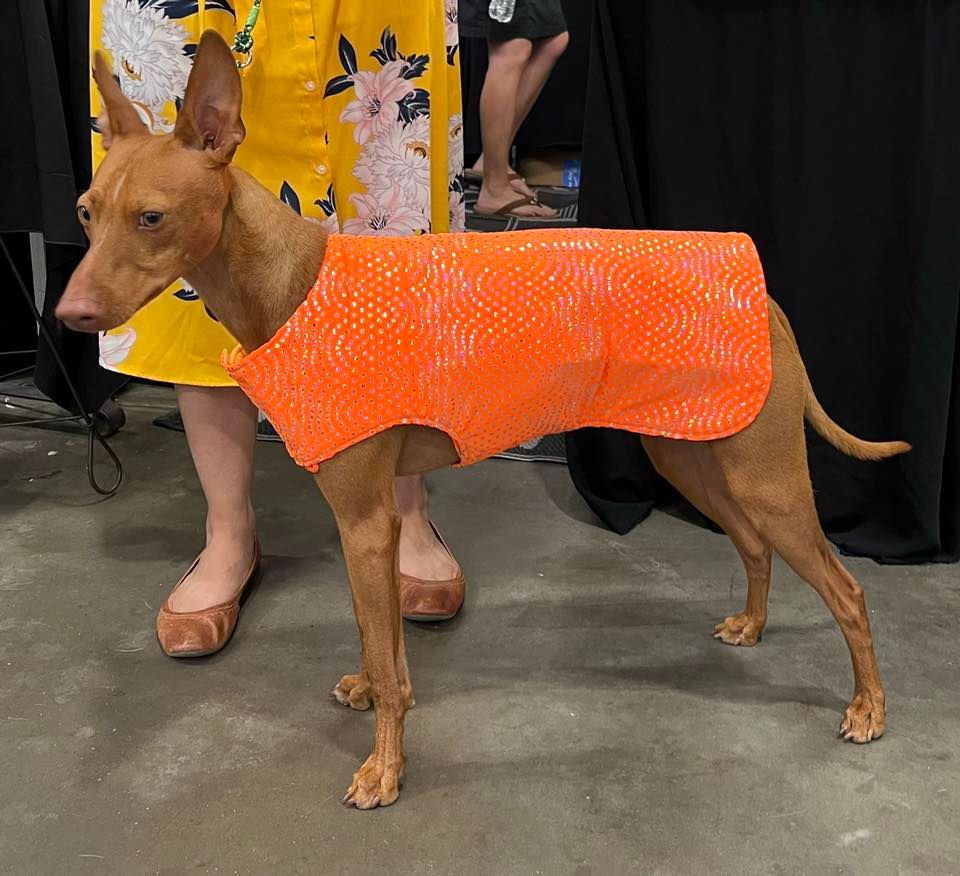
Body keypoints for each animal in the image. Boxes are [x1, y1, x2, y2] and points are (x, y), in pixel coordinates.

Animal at [56, 36, 912, 816]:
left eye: (152, 217)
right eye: (86, 214)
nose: (69, 315)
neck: (293, 282)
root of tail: (766, 296)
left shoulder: (367, 520)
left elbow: (386, 652)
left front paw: (385, 770)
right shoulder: (362, 525)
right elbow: (375, 637)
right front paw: (368, 690)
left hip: (763, 475)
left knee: (846, 589)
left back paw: (869, 708)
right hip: (696, 456)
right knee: (756, 548)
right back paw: (754, 626)